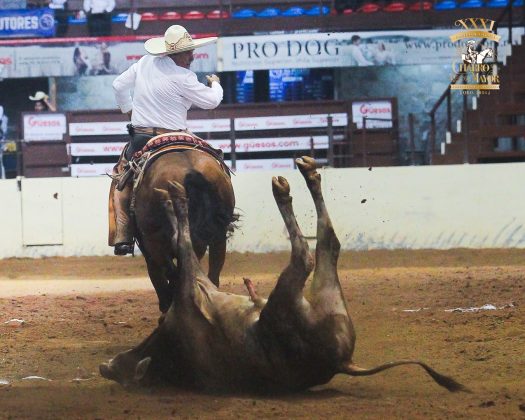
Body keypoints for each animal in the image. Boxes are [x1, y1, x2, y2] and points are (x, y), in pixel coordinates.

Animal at [131, 148, 235, 312]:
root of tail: (190, 169)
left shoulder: (150, 245)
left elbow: (159, 275)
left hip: (153, 240)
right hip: (218, 234)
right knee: (213, 271)